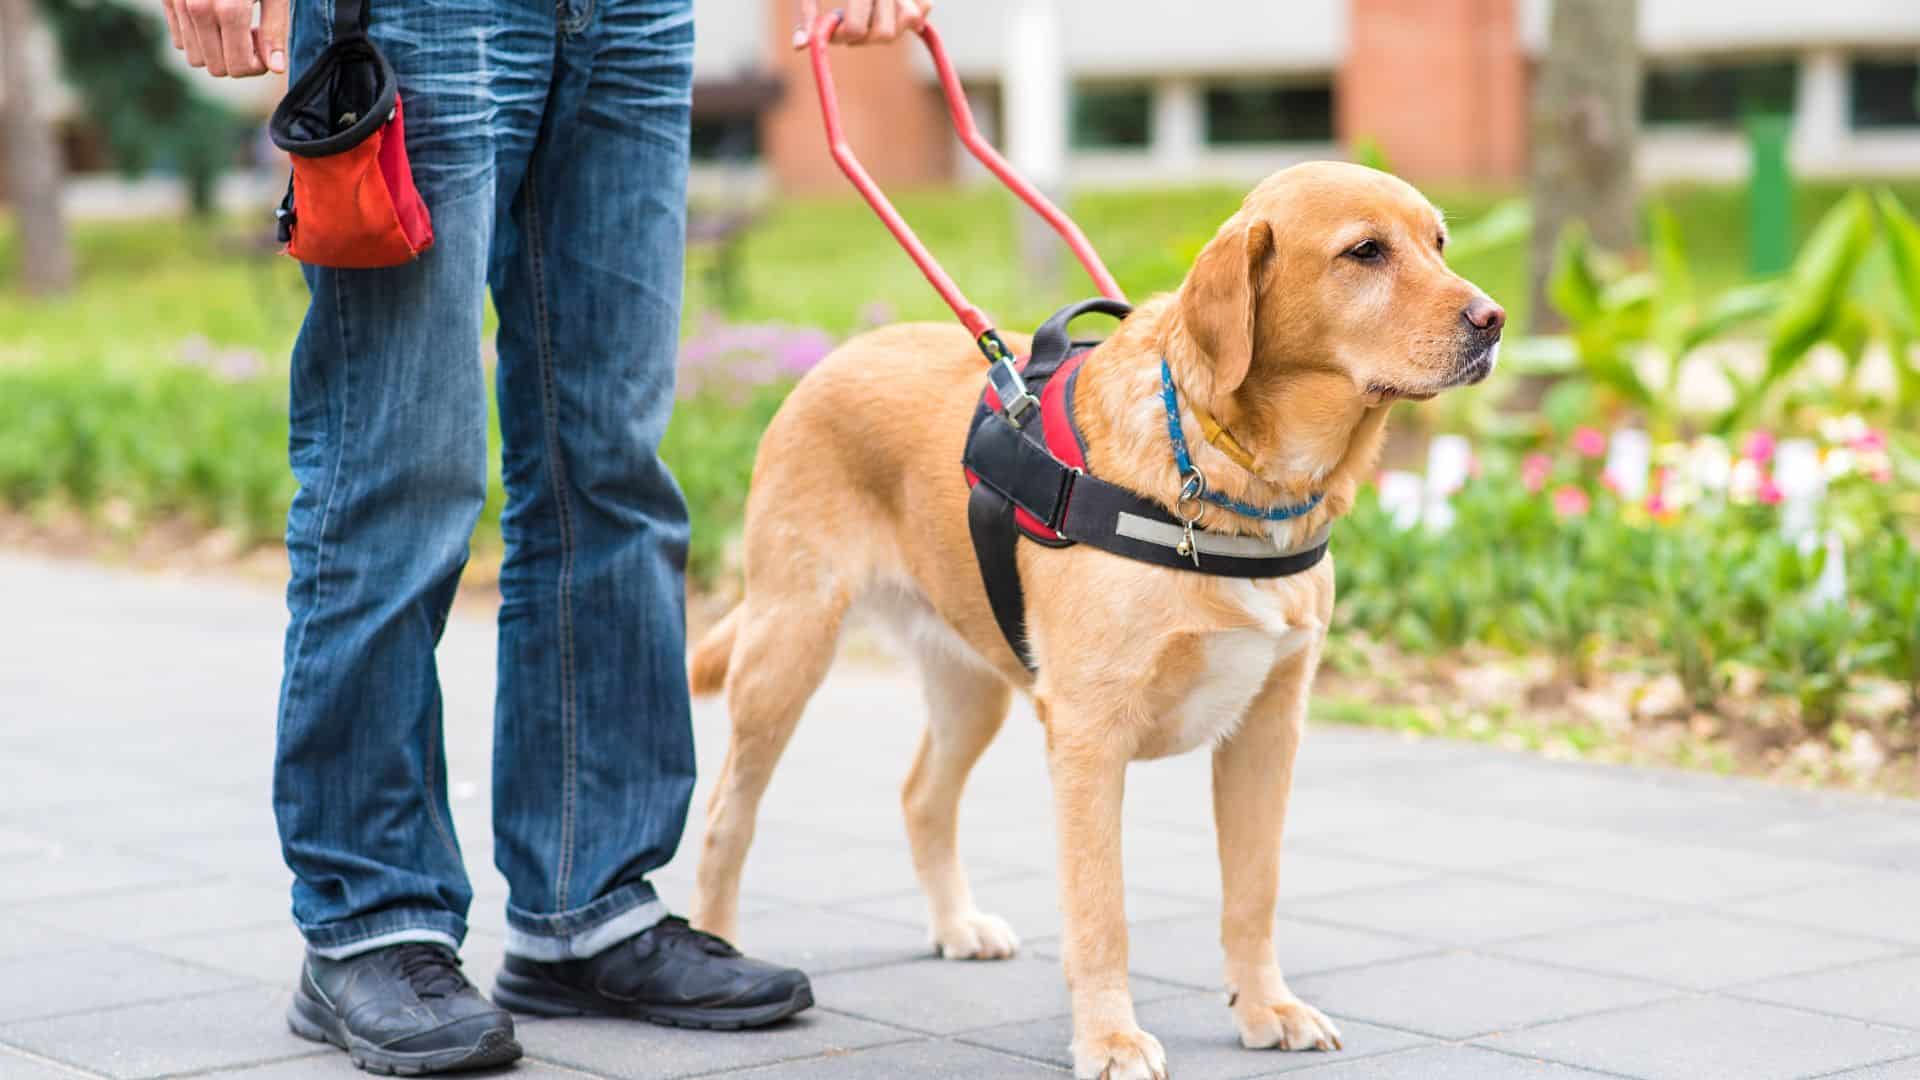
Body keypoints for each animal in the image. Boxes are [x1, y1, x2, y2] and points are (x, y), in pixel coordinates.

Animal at [687, 161, 1497, 1076]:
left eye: (1439, 243)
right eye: (1365, 252)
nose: (1493, 320)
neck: (1234, 479)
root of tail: (840, 353)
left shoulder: (1268, 730)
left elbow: (1254, 893)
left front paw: (1266, 1007)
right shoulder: (1088, 735)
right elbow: (1101, 911)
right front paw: (1109, 1036)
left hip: (974, 684)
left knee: (922, 795)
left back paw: (955, 925)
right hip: (787, 650)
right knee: (726, 817)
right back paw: (717, 951)